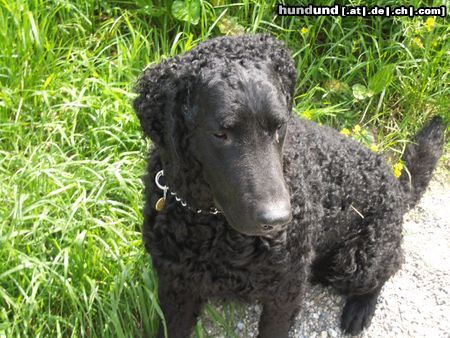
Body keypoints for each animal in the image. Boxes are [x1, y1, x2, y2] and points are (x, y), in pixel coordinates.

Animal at [133, 35, 442, 338]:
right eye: (220, 134)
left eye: (279, 126)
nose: (279, 219)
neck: (210, 221)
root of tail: (396, 185)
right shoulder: (175, 287)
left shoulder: (285, 291)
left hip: (362, 257)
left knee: (390, 265)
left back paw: (361, 308)